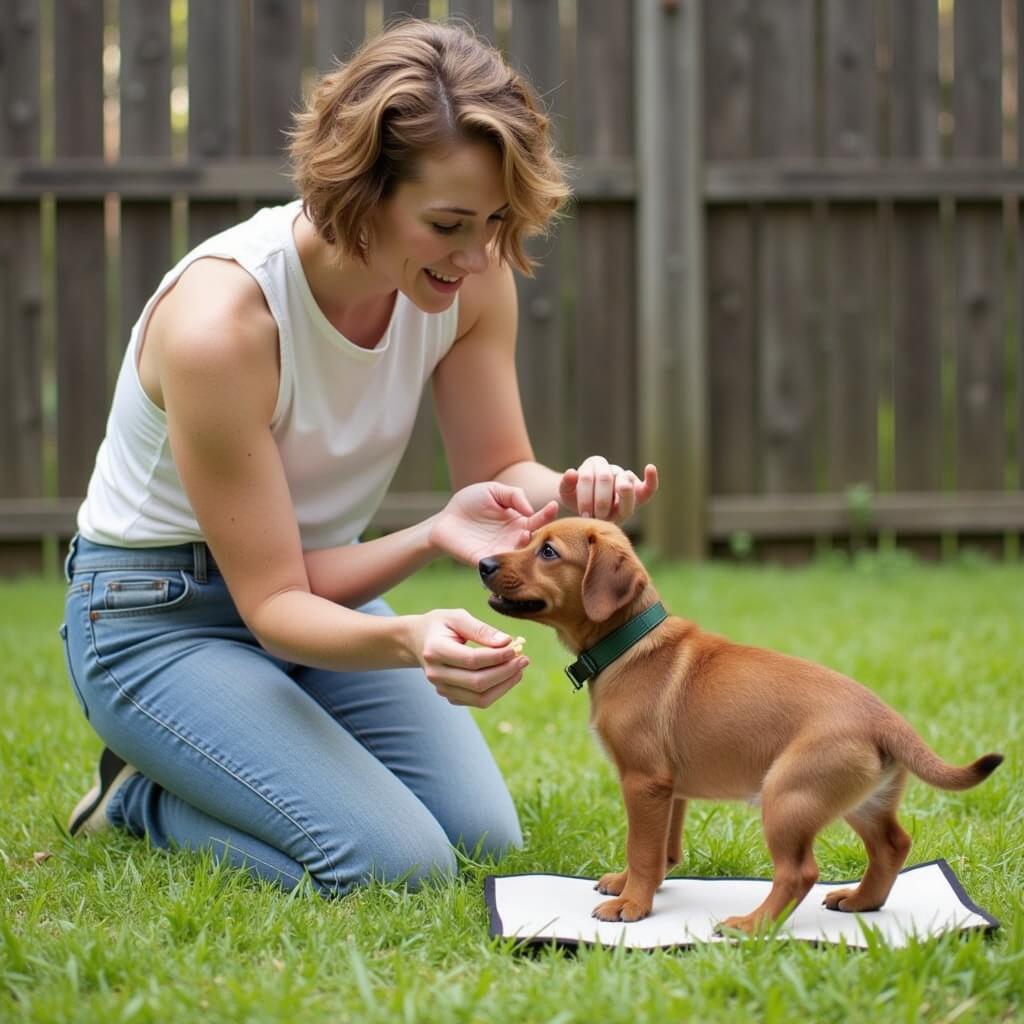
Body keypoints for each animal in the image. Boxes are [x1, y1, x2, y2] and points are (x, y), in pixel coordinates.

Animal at [477, 520, 999, 937]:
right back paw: (860, 900)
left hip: (788, 795)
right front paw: (631, 887)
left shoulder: (643, 782)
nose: (483, 562)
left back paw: (753, 925)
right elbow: (660, 850)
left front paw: (631, 904)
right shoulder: (670, 790)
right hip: (863, 799)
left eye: (548, 552)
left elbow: (641, 847)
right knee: (893, 845)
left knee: (799, 872)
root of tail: (886, 718)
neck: (628, 644)